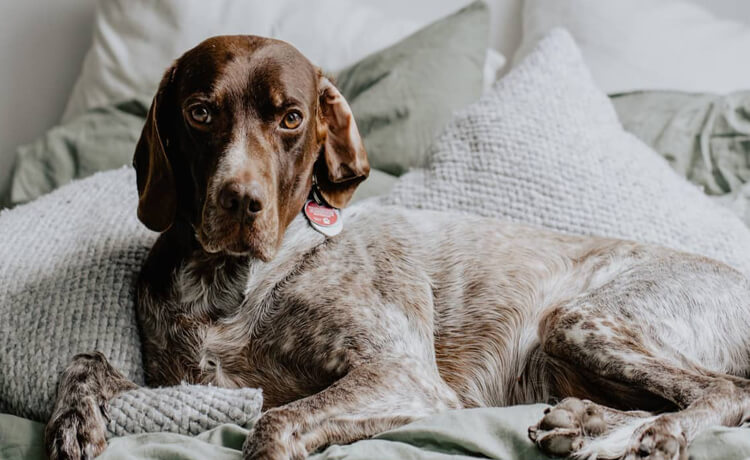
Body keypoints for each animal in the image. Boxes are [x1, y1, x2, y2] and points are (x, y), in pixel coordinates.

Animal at [45, 36, 750, 460]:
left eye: (291, 118)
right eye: (199, 111)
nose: (240, 201)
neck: (230, 281)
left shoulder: (403, 377)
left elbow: (273, 422)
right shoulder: (174, 384)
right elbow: (84, 361)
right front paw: (73, 421)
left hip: (583, 318)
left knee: (724, 392)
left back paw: (640, 436)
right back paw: (582, 424)